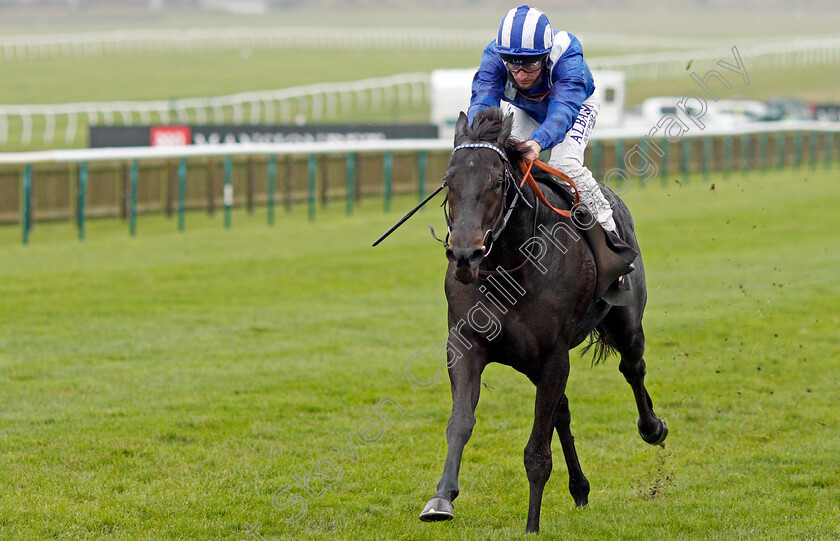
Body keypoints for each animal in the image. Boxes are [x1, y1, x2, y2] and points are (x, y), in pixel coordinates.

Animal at [420, 107, 668, 532]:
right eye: (449, 181)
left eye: (497, 181)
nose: (465, 254)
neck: (510, 267)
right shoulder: (467, 345)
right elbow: (461, 422)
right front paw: (441, 499)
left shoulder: (554, 355)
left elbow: (537, 449)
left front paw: (531, 525)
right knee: (563, 410)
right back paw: (580, 488)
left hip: (625, 323)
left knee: (632, 368)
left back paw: (652, 428)